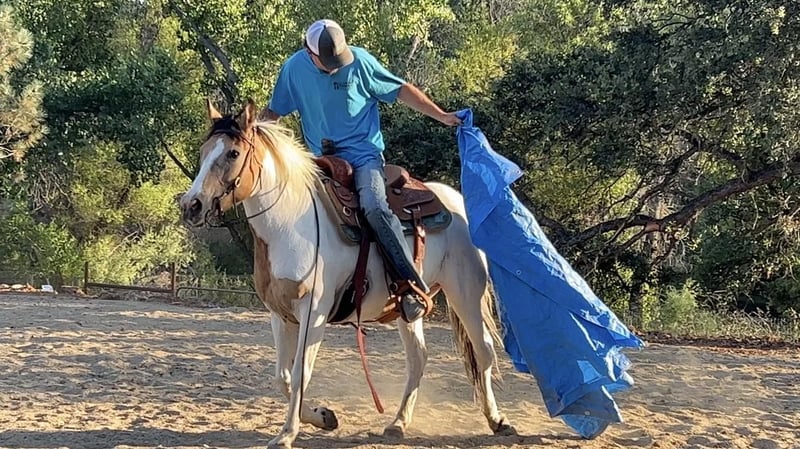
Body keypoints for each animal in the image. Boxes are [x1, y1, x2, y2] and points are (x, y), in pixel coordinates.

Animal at [179, 99, 515, 449]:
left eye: (232, 153)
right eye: (204, 151)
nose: (191, 205)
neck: (288, 224)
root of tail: (456, 201)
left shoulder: (313, 313)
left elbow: (300, 374)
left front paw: (286, 434)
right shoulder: (280, 314)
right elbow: (283, 377)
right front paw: (323, 417)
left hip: (466, 295)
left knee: (483, 351)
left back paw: (498, 420)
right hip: (409, 309)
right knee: (418, 359)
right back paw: (398, 423)